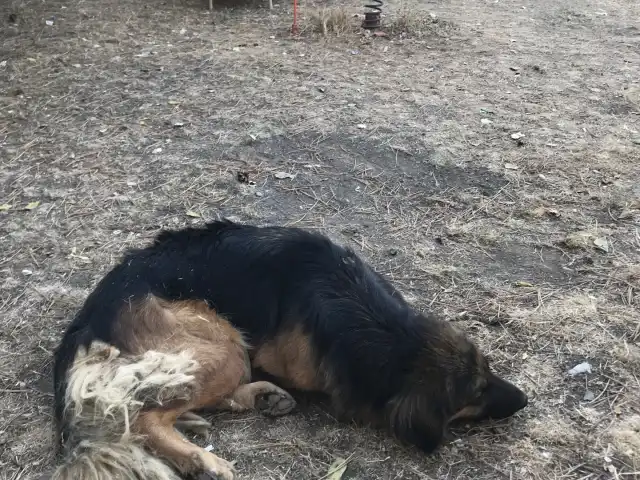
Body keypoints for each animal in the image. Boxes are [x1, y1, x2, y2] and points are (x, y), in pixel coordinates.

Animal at [51, 219, 528, 478]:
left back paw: (260, 399)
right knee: (143, 416)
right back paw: (204, 460)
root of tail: (87, 320)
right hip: (226, 342)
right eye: (475, 393)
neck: (375, 322)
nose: (525, 399)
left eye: (488, 371)